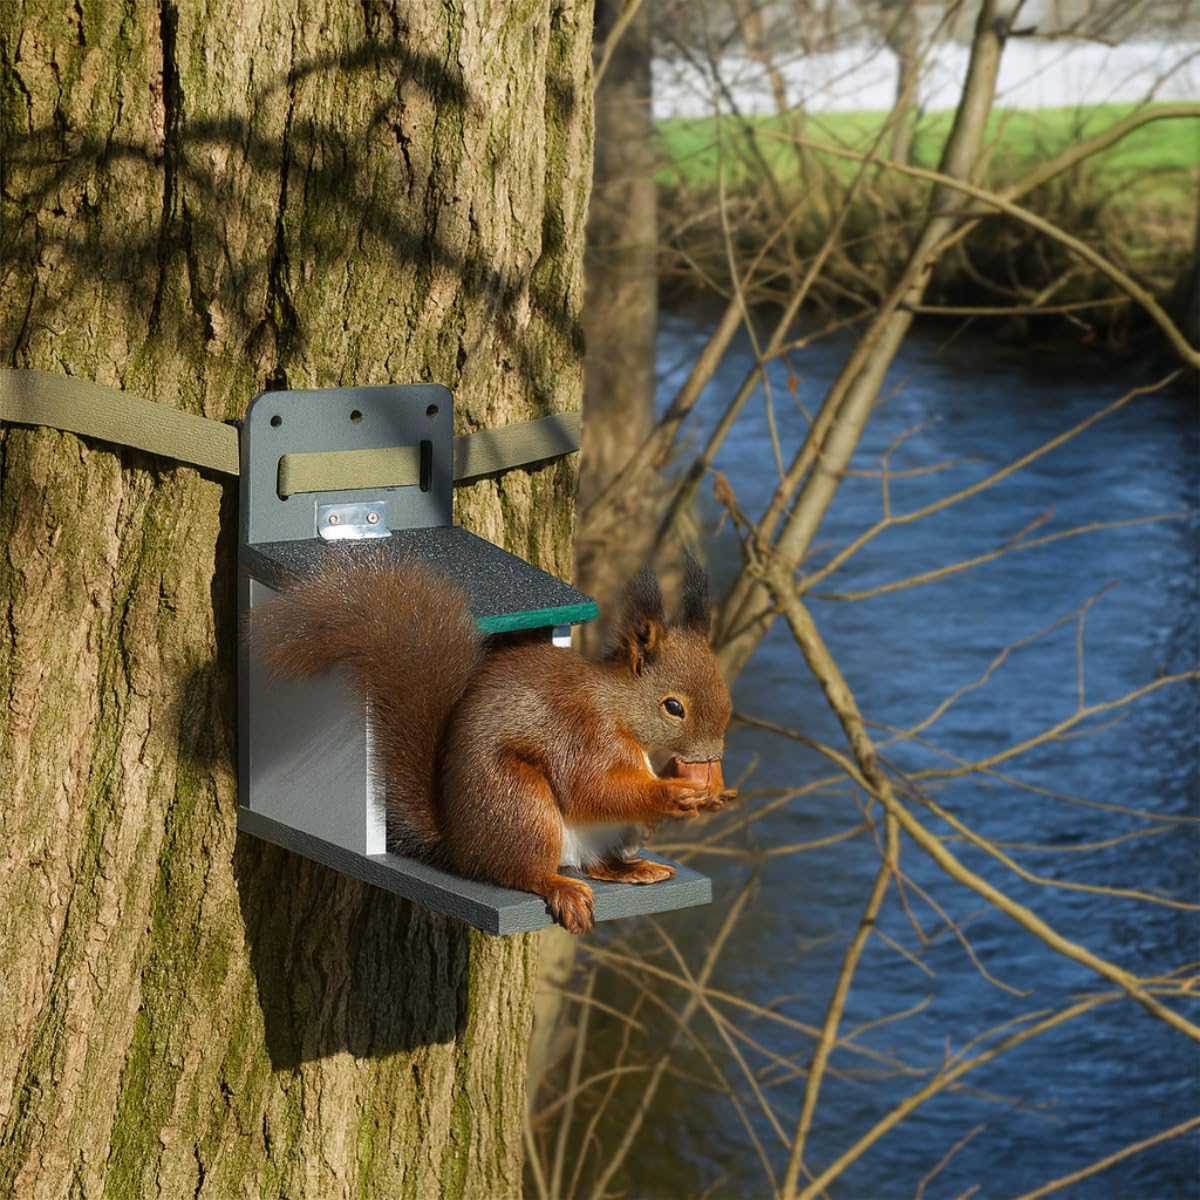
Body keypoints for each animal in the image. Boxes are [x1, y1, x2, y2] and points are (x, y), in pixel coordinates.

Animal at [250, 553, 734, 933]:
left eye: (724, 689)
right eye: (673, 706)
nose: (711, 756)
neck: (623, 715)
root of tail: (460, 846)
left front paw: (713, 794)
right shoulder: (585, 735)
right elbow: (592, 789)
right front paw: (672, 794)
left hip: (602, 832)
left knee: (596, 864)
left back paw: (634, 868)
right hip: (520, 804)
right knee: (523, 872)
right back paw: (560, 886)